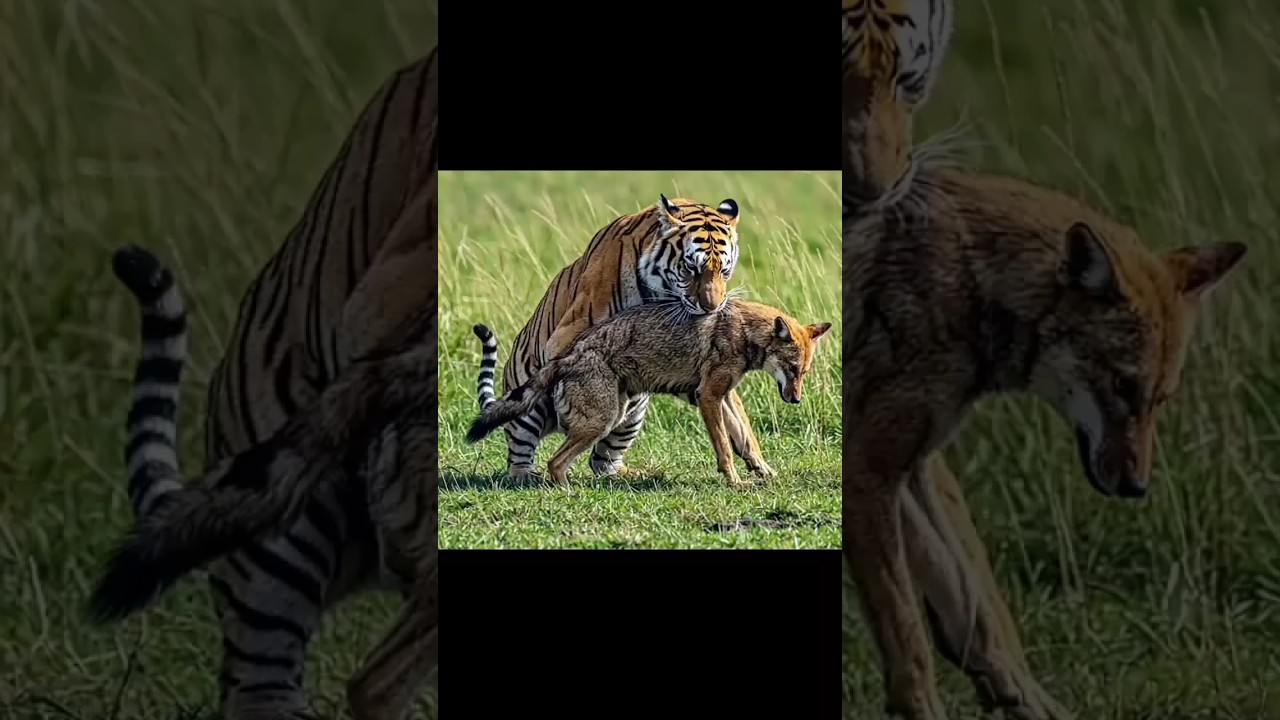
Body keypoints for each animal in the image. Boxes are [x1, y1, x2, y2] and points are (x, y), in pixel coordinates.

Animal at [472, 194, 774, 482]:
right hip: (530, 411)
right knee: (522, 451)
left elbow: (737, 417)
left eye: (725, 270)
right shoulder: (571, 336)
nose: (712, 307)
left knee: (603, 460)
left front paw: (760, 465)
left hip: (633, 412)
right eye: (691, 269)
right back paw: (528, 474)